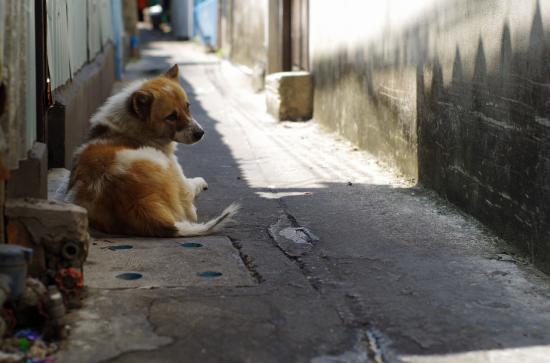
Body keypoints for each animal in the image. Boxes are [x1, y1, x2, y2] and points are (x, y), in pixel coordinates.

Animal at [67, 64, 239, 237]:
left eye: (188, 106)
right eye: (171, 116)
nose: (200, 133)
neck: (132, 129)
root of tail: (141, 204)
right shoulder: (176, 169)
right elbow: (191, 187)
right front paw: (200, 182)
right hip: (164, 163)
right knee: (189, 209)